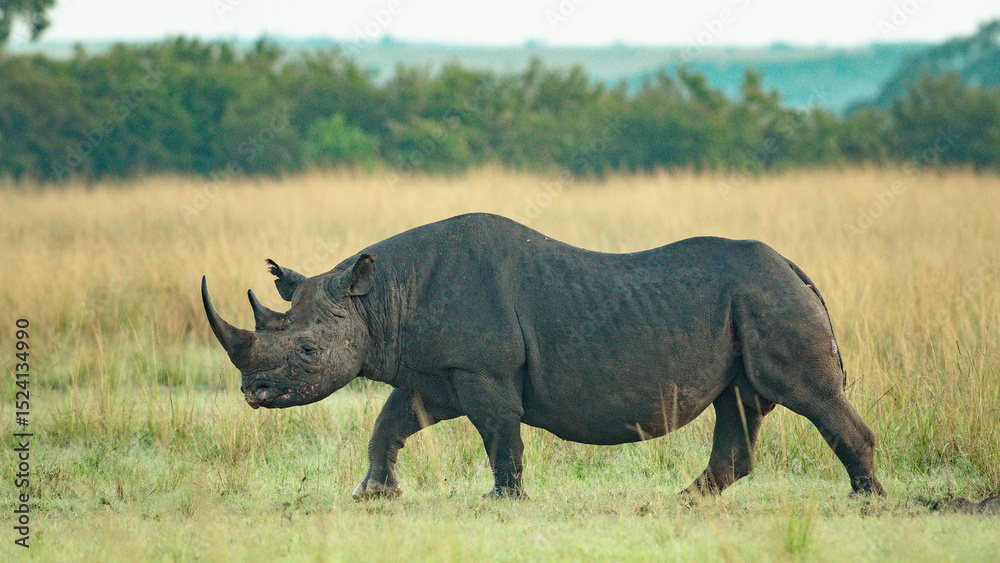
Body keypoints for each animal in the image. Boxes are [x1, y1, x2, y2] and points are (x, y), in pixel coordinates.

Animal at [202, 213, 885, 499]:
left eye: (308, 349)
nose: (254, 393)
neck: (380, 299)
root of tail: (796, 269)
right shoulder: (438, 371)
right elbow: (390, 422)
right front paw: (373, 494)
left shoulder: (483, 370)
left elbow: (500, 434)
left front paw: (503, 501)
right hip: (755, 304)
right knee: (738, 404)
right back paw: (683, 501)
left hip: (771, 301)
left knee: (810, 397)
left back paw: (866, 501)